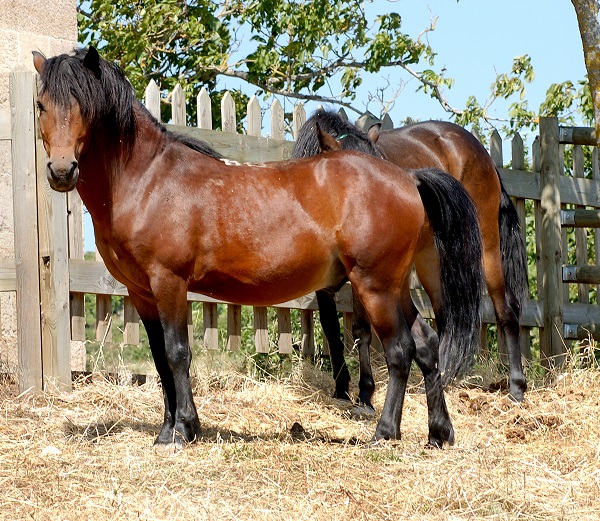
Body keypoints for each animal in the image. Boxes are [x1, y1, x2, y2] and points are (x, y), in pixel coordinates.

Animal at [31, 46, 482, 448]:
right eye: (40, 105)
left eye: (85, 106)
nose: (61, 170)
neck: (148, 179)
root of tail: (408, 178)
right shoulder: (141, 291)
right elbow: (159, 359)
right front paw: (167, 430)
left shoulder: (169, 282)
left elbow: (177, 354)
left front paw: (182, 431)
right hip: (395, 286)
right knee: (427, 344)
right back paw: (438, 434)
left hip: (375, 286)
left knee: (401, 350)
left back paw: (384, 433)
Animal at [292, 107, 528, 404]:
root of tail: (480, 151)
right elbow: (332, 330)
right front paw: (341, 390)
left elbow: (361, 330)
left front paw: (365, 393)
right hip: (432, 261)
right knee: (446, 316)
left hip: (486, 246)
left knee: (506, 307)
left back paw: (516, 386)